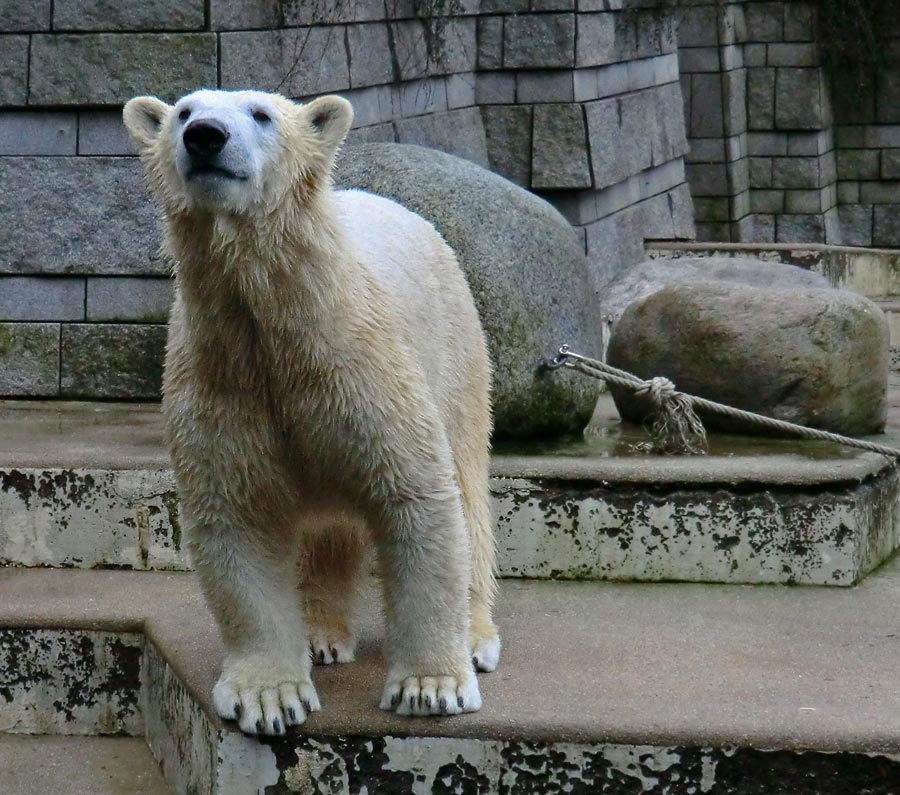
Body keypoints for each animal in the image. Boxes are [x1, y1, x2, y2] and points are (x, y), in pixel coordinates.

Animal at [120, 90, 502, 736]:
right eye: (184, 112)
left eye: (261, 114)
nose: (206, 136)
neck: (283, 322)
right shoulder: (224, 381)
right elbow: (240, 517)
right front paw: (269, 698)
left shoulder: (365, 368)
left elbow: (417, 498)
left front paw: (429, 686)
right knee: (328, 529)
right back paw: (322, 634)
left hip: (459, 355)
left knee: (469, 493)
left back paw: (476, 638)